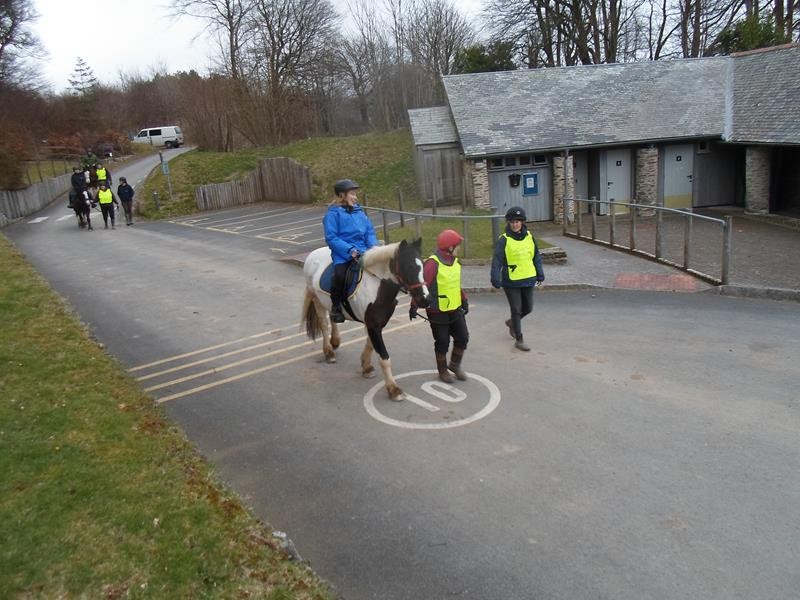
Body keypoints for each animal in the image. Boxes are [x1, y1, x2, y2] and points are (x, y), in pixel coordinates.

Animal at [304, 237, 432, 400]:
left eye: (422, 265)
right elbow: (384, 357)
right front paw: (393, 389)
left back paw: (335, 341)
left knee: (333, 318)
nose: (425, 300)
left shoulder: (376, 323)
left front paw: (366, 367)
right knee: (324, 324)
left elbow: (370, 344)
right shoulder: (373, 325)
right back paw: (329, 352)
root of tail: (312, 254)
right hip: (316, 300)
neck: (378, 285)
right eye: (408, 267)